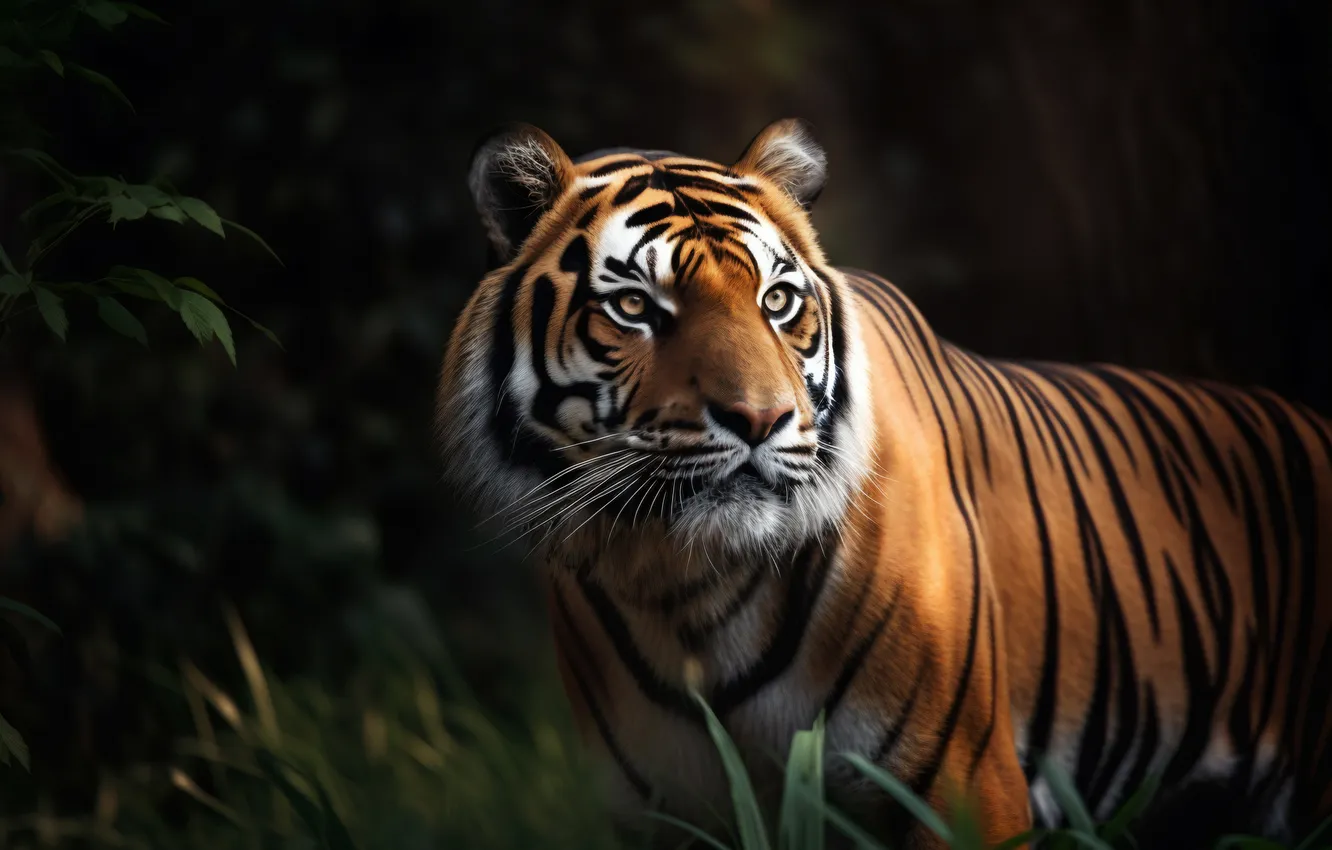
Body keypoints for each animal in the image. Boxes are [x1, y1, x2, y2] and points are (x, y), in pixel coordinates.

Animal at [435, 118, 1332, 848]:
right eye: (634, 308)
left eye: (777, 299)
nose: (760, 418)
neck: (688, 594)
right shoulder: (660, 818)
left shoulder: (963, 785)